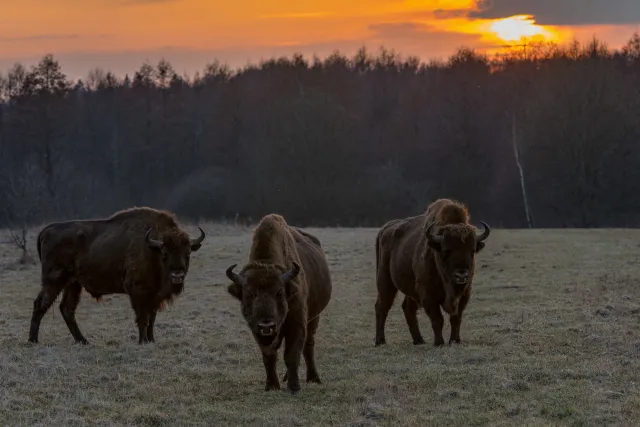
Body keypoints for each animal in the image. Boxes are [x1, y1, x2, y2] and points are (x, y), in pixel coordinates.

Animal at [28, 206, 205, 344]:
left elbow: (152, 318)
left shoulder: (154, 296)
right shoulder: (138, 293)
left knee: (67, 309)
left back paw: (83, 341)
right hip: (54, 280)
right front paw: (142, 341)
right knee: (41, 304)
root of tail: (46, 230)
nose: (177, 275)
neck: (152, 248)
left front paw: (151, 340)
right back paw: (33, 341)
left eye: (188, 253)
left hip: (73, 284)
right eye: (165, 253)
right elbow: (143, 318)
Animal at [225, 214, 332, 394]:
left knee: (308, 346)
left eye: (280, 293)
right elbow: (269, 356)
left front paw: (294, 387)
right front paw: (272, 385)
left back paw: (313, 378)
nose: (266, 325)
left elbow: (291, 354)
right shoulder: (256, 330)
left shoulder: (297, 324)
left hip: (314, 317)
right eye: (248, 294)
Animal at [376, 200, 490, 348]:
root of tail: (385, 229)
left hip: (411, 290)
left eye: (472, 251)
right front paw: (439, 342)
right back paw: (380, 341)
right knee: (382, 306)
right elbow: (437, 319)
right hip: (385, 280)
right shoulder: (428, 295)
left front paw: (455, 341)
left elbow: (456, 318)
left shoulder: (464, 294)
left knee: (407, 308)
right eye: (446, 251)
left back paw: (418, 340)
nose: (461, 275)